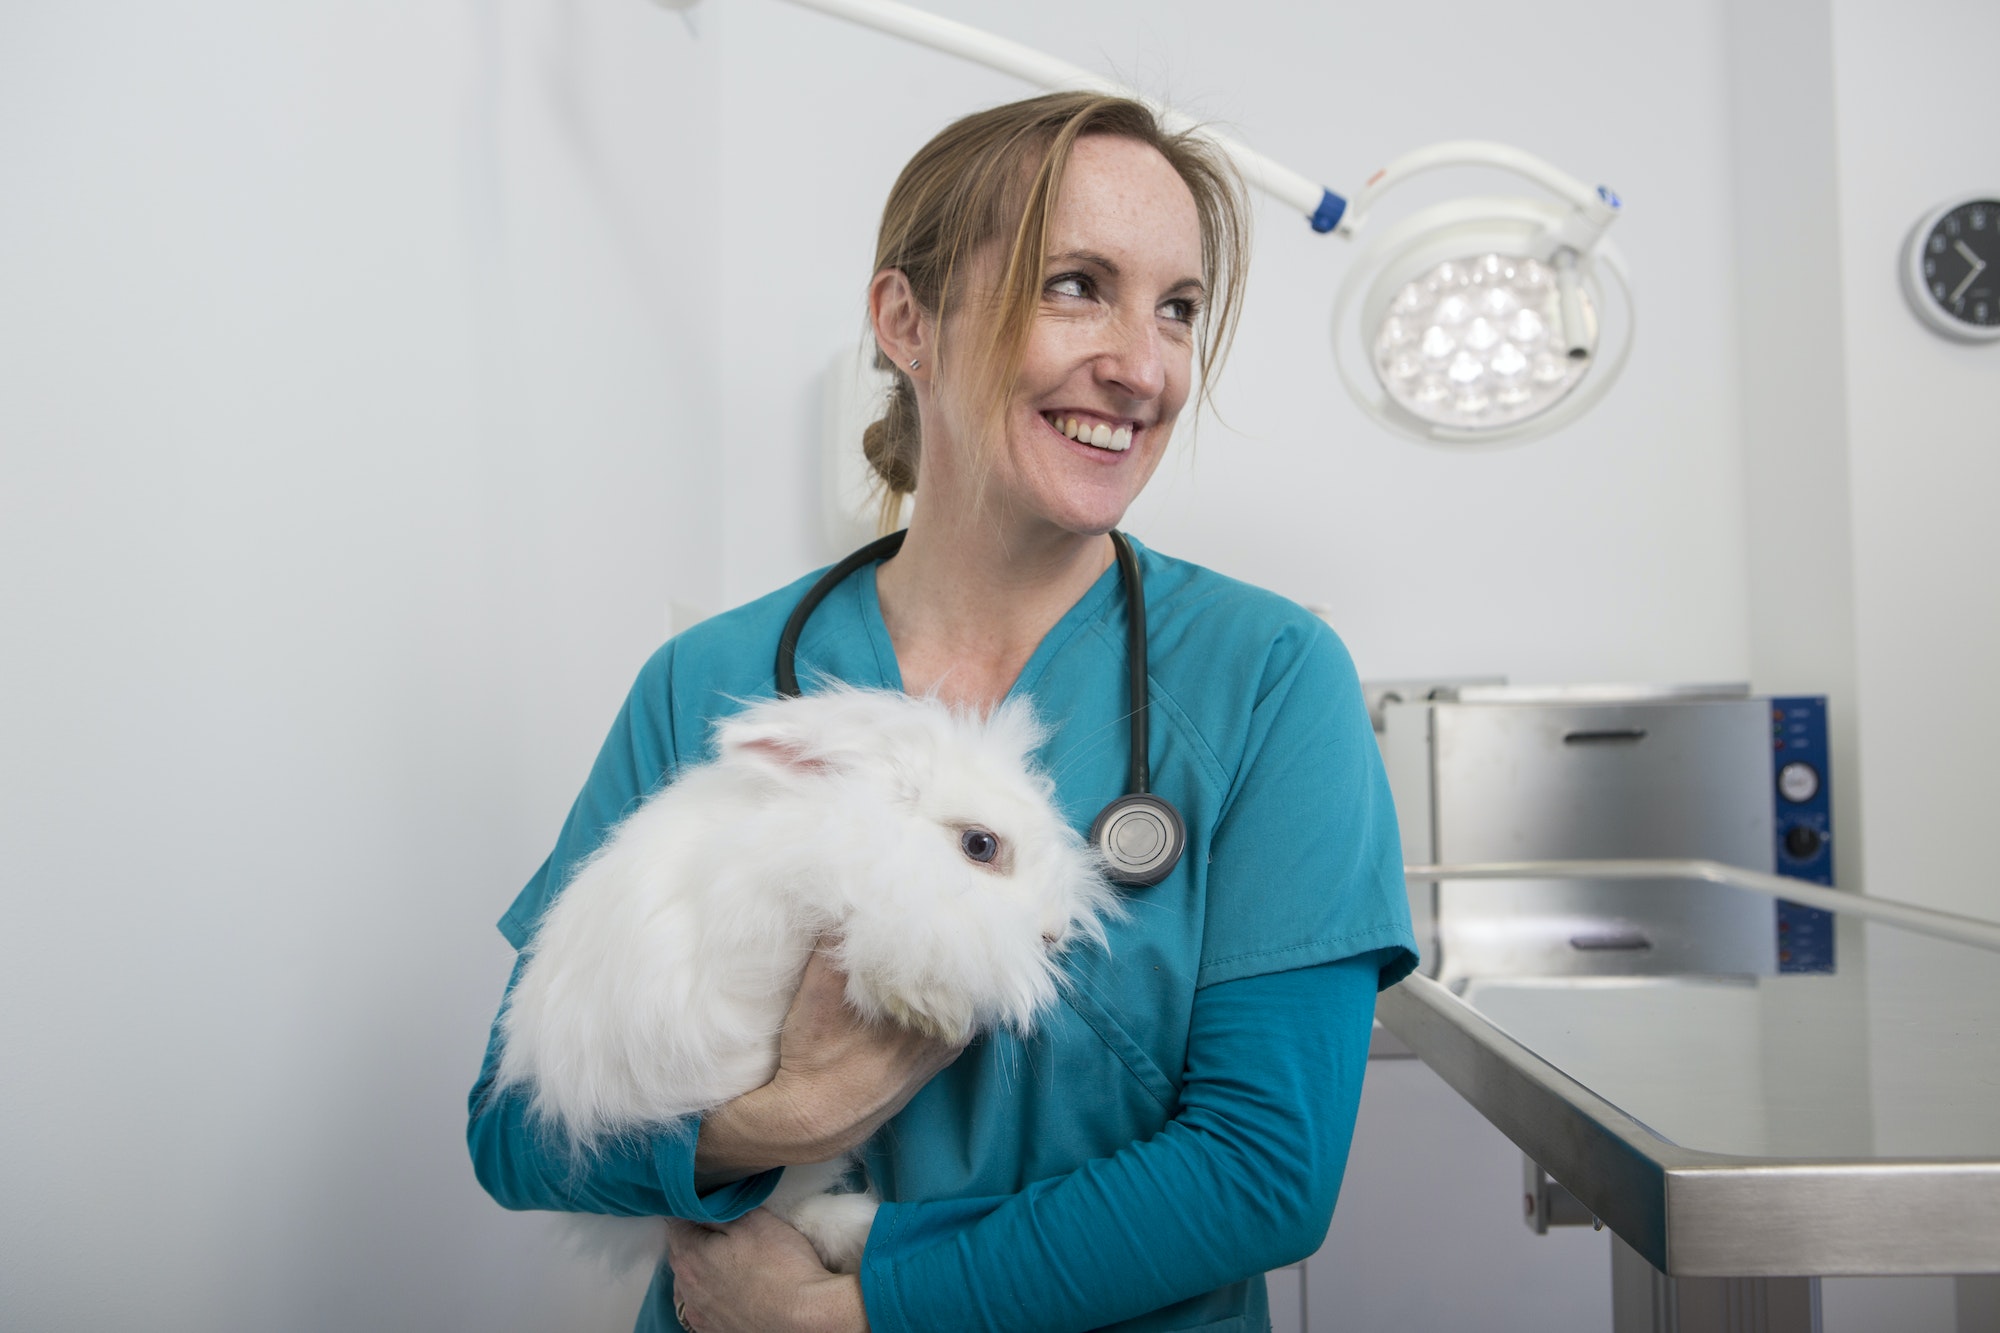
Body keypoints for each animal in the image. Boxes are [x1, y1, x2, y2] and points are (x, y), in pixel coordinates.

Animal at [492, 684, 1120, 1264]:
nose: (1055, 931)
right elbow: (911, 938)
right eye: (981, 844)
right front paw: (931, 1004)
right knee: (784, 1205)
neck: (855, 835)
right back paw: (857, 1229)